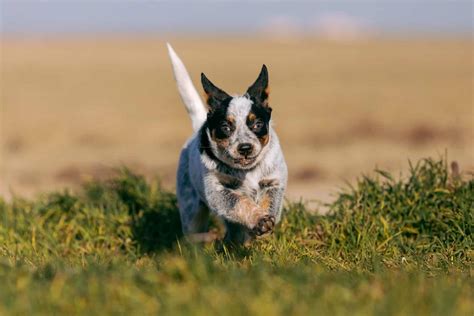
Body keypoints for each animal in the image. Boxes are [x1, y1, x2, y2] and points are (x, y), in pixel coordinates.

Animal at [168, 43, 286, 243]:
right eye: (225, 126)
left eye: (257, 124)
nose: (245, 148)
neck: (247, 171)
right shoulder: (217, 191)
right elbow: (240, 202)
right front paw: (258, 219)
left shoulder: (273, 182)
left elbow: (268, 203)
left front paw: (263, 227)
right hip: (191, 211)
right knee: (192, 233)